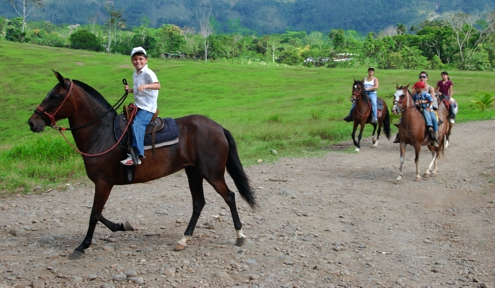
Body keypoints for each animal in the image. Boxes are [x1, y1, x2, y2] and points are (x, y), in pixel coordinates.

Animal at [27, 71, 260, 260]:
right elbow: (99, 213)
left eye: (55, 96)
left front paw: (82, 246)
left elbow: (94, 214)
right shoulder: (104, 184)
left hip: (212, 174)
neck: (101, 132)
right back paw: (183, 239)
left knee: (229, 197)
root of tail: (219, 127)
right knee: (198, 203)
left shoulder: (103, 183)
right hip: (193, 172)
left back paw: (239, 235)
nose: (32, 122)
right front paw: (121, 226)